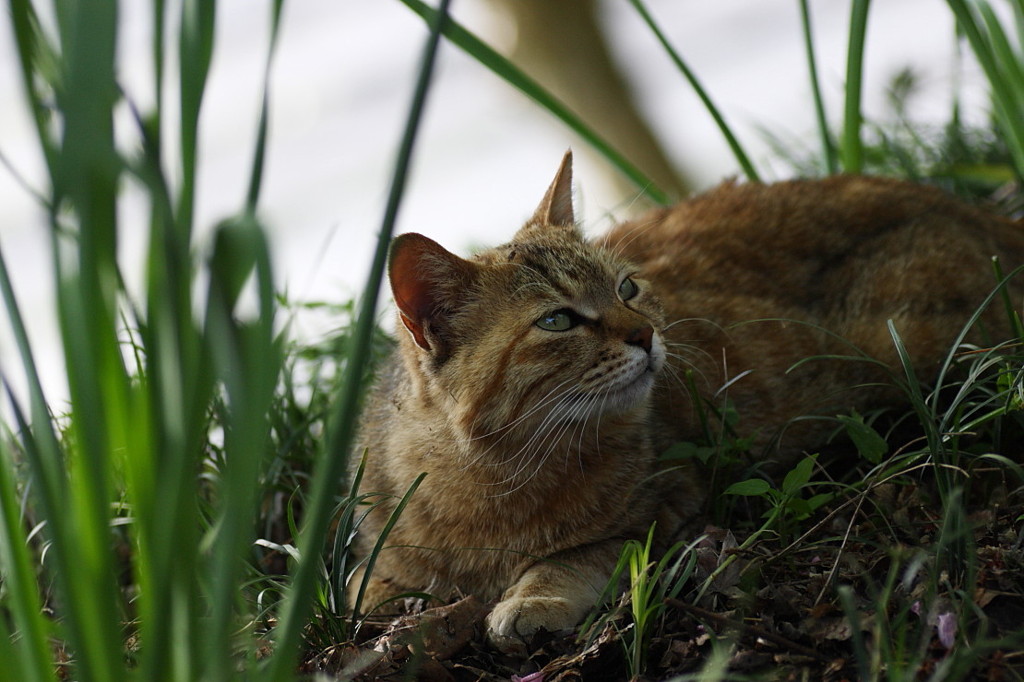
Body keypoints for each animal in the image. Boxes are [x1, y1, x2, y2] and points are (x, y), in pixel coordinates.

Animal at [346, 151, 1024, 651]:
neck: (493, 479)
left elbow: (571, 557)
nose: (645, 334)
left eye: (627, 288)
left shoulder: (662, 507)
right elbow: (363, 583)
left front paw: (533, 596)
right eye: (559, 320)